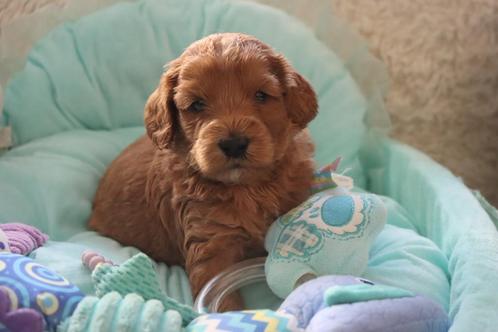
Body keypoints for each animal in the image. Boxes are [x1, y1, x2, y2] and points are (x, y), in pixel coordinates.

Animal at [88, 32, 320, 308]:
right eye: (197, 104)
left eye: (261, 96)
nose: (234, 144)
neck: (249, 188)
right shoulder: (209, 245)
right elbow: (224, 296)